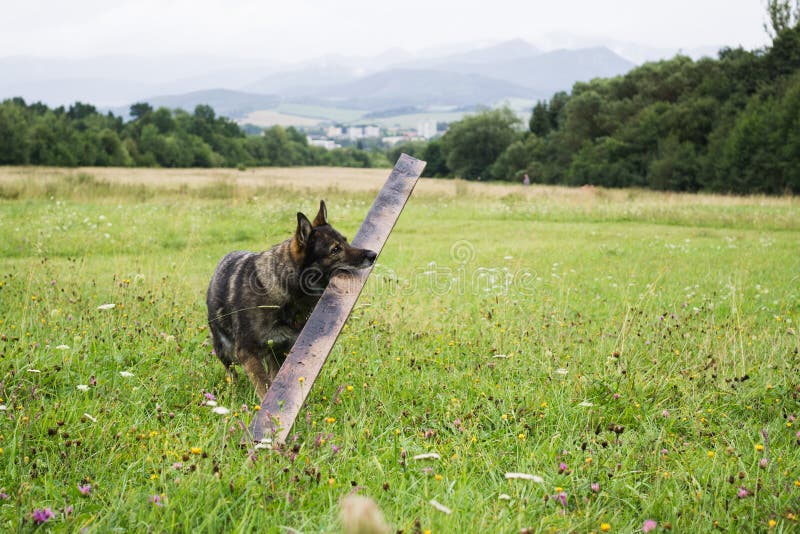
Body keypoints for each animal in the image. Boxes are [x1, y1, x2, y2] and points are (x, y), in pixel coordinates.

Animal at [209, 202, 378, 402]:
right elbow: (264, 386)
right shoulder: (247, 352)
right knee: (231, 372)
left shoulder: (282, 350)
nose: (373, 254)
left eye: (346, 241)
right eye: (335, 250)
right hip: (224, 350)